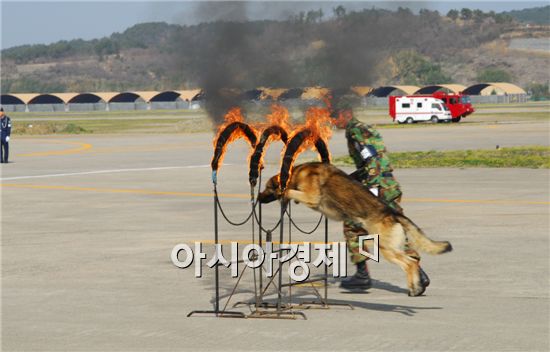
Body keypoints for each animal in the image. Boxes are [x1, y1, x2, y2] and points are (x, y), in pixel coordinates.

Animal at [260, 161, 452, 296]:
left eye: (267, 187)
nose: (258, 198)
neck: (296, 173)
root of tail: (391, 212)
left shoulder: (311, 197)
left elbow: (288, 192)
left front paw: (284, 194)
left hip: (386, 249)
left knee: (409, 263)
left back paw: (414, 289)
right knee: (412, 259)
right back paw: (417, 286)